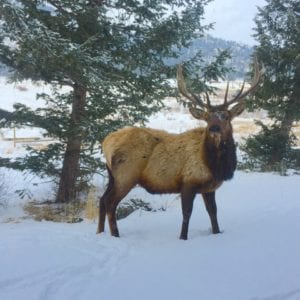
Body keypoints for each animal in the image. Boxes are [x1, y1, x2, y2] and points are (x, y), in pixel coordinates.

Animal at [96, 60, 262, 239]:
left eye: (225, 116)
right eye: (207, 117)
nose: (214, 128)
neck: (214, 166)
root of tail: (106, 142)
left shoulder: (209, 188)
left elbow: (213, 212)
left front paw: (216, 232)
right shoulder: (188, 182)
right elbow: (186, 214)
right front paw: (183, 237)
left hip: (112, 176)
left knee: (102, 200)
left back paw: (100, 232)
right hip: (126, 175)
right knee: (110, 202)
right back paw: (115, 235)